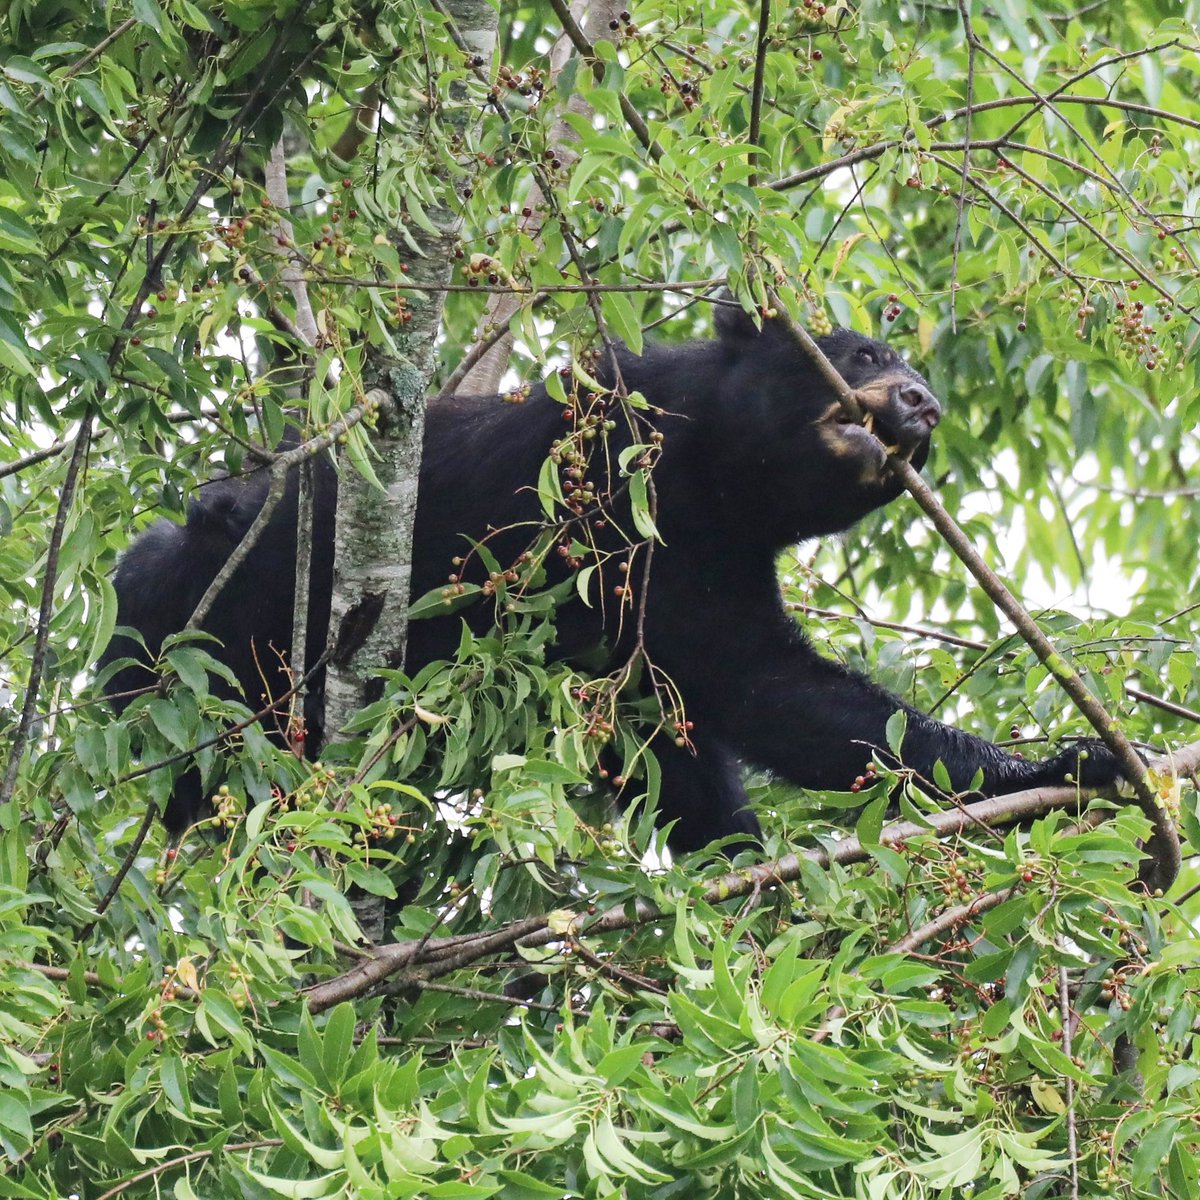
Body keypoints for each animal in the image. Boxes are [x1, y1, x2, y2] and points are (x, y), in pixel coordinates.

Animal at [99, 306, 1123, 845]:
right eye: (864, 351)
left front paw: (1072, 763)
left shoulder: (706, 565)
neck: (710, 477)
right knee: (157, 583)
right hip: (214, 588)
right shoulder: (596, 469)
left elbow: (772, 694)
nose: (922, 403)